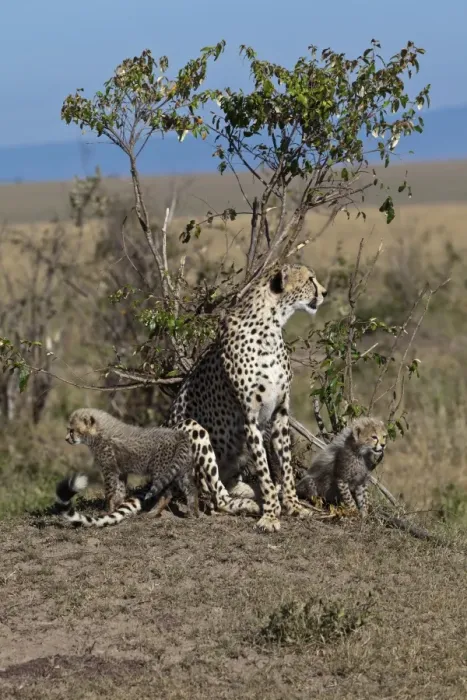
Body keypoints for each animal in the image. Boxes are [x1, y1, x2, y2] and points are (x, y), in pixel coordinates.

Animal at [54, 408, 198, 527]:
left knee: (166, 494)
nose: (66, 439)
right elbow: (120, 490)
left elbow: (110, 491)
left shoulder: (110, 469)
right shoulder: (120, 471)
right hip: (182, 471)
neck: (99, 432)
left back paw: (153, 512)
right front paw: (117, 507)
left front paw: (108, 510)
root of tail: (179, 434)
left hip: (161, 470)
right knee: (190, 489)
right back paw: (192, 513)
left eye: (72, 430)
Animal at [166, 263, 327, 533]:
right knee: (217, 497)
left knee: (232, 485)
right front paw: (270, 516)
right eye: (310, 280)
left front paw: (293, 506)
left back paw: (256, 493)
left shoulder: (280, 414)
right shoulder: (250, 419)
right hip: (189, 427)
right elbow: (263, 469)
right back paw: (249, 504)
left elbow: (285, 467)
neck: (270, 326)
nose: (324, 292)